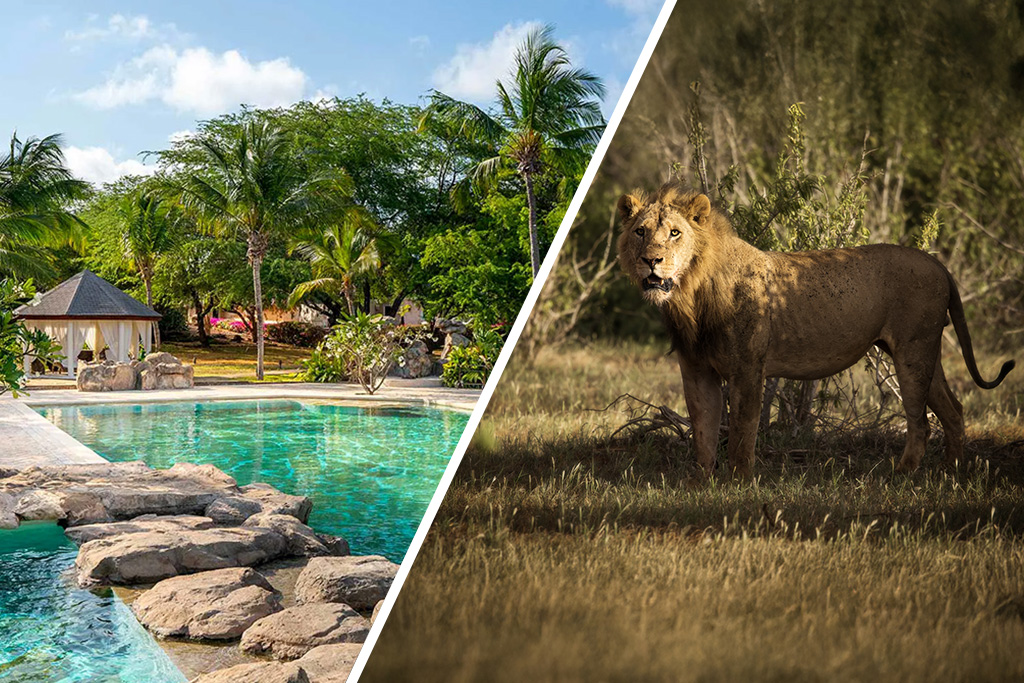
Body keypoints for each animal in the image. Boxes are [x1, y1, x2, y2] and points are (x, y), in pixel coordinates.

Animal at [617, 181, 1015, 477]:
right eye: (640, 232)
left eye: (674, 233)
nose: (651, 261)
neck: (691, 294)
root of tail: (938, 263)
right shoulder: (697, 370)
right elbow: (703, 429)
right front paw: (700, 481)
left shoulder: (748, 367)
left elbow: (744, 428)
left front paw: (738, 481)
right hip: (923, 352)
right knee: (954, 409)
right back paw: (951, 469)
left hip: (913, 351)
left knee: (921, 422)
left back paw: (902, 473)